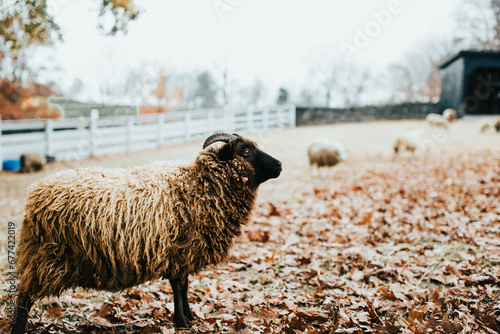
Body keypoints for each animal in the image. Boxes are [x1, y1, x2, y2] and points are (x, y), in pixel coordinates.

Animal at [11, 132, 284, 332]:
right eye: (246, 152)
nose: (280, 164)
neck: (198, 187)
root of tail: (34, 194)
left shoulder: (184, 256)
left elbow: (185, 287)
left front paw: (190, 316)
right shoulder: (177, 253)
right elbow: (178, 288)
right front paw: (181, 322)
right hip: (43, 258)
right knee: (23, 298)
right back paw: (18, 328)